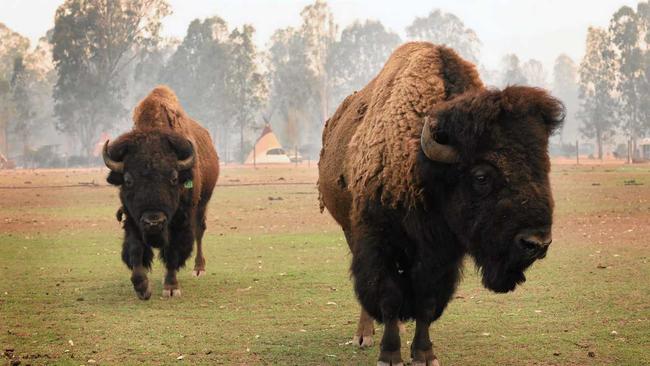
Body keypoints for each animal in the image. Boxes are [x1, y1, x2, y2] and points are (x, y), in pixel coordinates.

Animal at [102, 86, 219, 300]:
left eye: (173, 178)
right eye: (128, 180)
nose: (153, 222)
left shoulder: (179, 221)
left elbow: (172, 252)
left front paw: (171, 288)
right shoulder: (132, 218)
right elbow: (135, 250)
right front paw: (142, 287)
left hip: (202, 203)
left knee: (199, 232)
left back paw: (199, 269)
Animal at [316, 43, 560, 366]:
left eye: (544, 168)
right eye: (481, 176)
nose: (537, 243)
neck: (420, 165)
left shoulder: (441, 256)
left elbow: (427, 302)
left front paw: (424, 354)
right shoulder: (380, 242)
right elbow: (388, 295)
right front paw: (389, 354)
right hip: (349, 229)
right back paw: (364, 336)